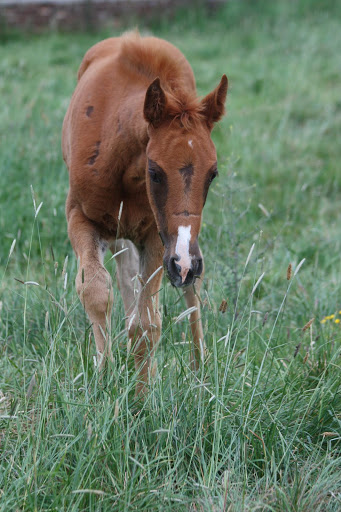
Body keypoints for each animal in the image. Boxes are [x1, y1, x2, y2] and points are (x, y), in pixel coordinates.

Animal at [62, 33, 227, 392]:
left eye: (213, 173)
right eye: (155, 171)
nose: (184, 263)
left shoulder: (157, 236)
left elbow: (148, 322)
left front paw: (142, 395)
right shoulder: (80, 217)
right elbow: (95, 290)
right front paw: (104, 375)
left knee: (188, 291)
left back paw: (200, 369)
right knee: (126, 273)